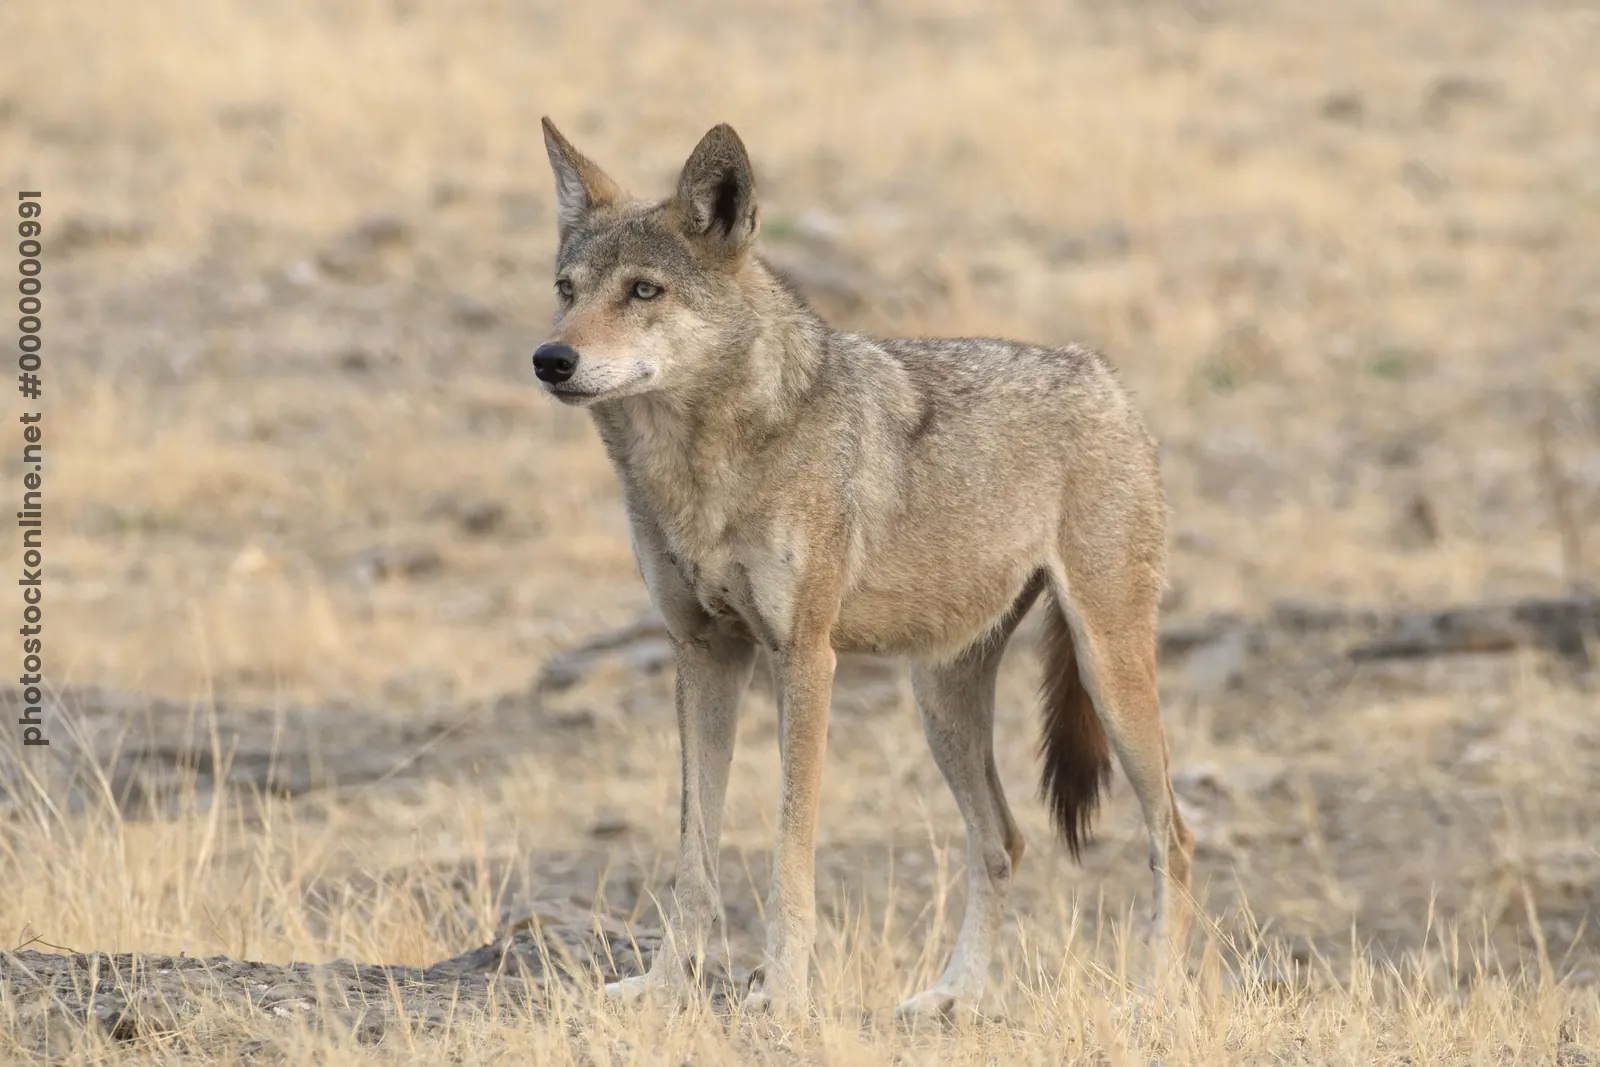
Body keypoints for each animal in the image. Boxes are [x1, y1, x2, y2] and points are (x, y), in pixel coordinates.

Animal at [532, 117, 1195, 1020]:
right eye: (567, 288)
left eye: (643, 291)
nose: (549, 358)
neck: (699, 468)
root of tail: (1103, 374)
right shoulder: (704, 651)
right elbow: (694, 855)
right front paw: (665, 985)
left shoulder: (806, 656)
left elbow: (790, 849)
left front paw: (781, 991)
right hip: (939, 699)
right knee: (1004, 839)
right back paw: (949, 996)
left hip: (1107, 667)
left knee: (1173, 835)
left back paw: (1152, 999)